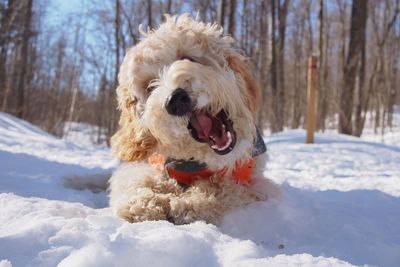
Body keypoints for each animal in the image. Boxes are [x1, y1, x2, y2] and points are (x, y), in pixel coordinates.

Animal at [108, 13, 280, 225]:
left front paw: (190, 202)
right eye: (149, 87)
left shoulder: (253, 181)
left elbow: (225, 187)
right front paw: (144, 203)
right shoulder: (145, 164)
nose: (175, 100)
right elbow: (133, 179)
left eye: (187, 58)